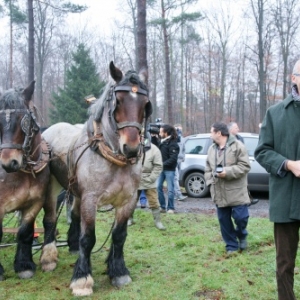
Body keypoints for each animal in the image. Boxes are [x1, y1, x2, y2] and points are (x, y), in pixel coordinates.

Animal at [42, 61, 151, 296]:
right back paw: (48, 257)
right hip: (53, 189)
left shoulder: (128, 200)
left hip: (77, 193)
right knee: (50, 220)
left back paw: (73, 247)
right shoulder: (91, 199)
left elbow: (119, 235)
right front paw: (82, 279)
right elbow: (88, 238)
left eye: (145, 104)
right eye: (118, 101)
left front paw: (118, 271)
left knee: (74, 216)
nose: (131, 148)